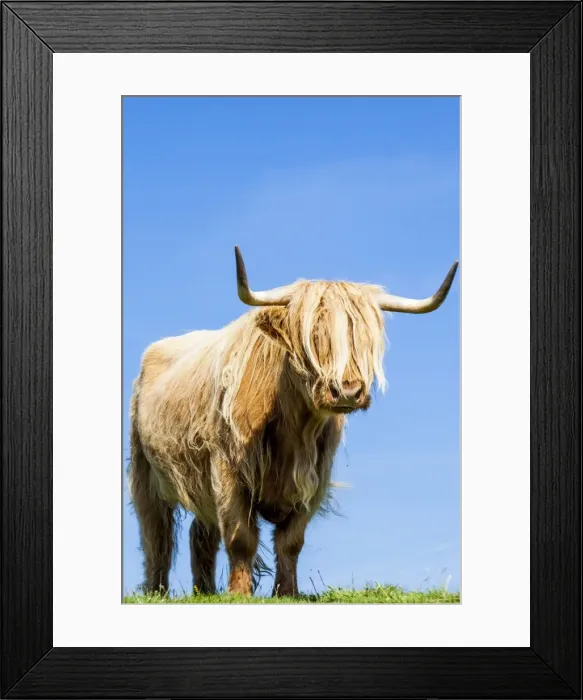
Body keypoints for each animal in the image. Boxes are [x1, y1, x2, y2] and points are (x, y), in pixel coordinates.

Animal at [128, 247, 458, 597]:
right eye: (312, 335)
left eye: (364, 337)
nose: (347, 390)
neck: (294, 431)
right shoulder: (228, 470)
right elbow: (241, 537)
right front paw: (240, 593)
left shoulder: (314, 479)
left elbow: (290, 542)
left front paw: (287, 591)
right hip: (144, 469)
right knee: (156, 535)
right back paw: (156, 590)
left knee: (199, 534)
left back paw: (205, 591)